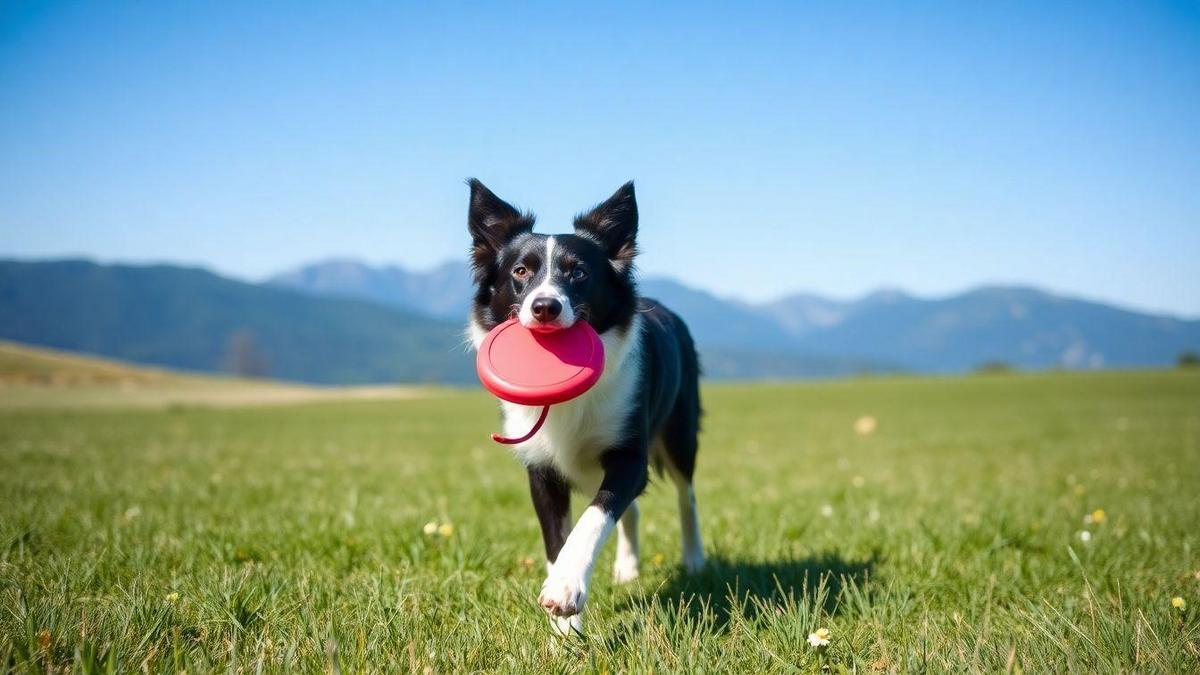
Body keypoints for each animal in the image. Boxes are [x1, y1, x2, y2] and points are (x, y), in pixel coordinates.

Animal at [463, 177, 705, 629]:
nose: (545, 306)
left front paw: (564, 590)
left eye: (579, 272)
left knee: (687, 496)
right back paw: (627, 569)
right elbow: (557, 540)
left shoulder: (629, 455)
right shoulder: (541, 470)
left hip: (681, 434)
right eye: (520, 271)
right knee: (634, 511)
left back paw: (695, 559)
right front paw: (565, 629)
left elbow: (594, 518)